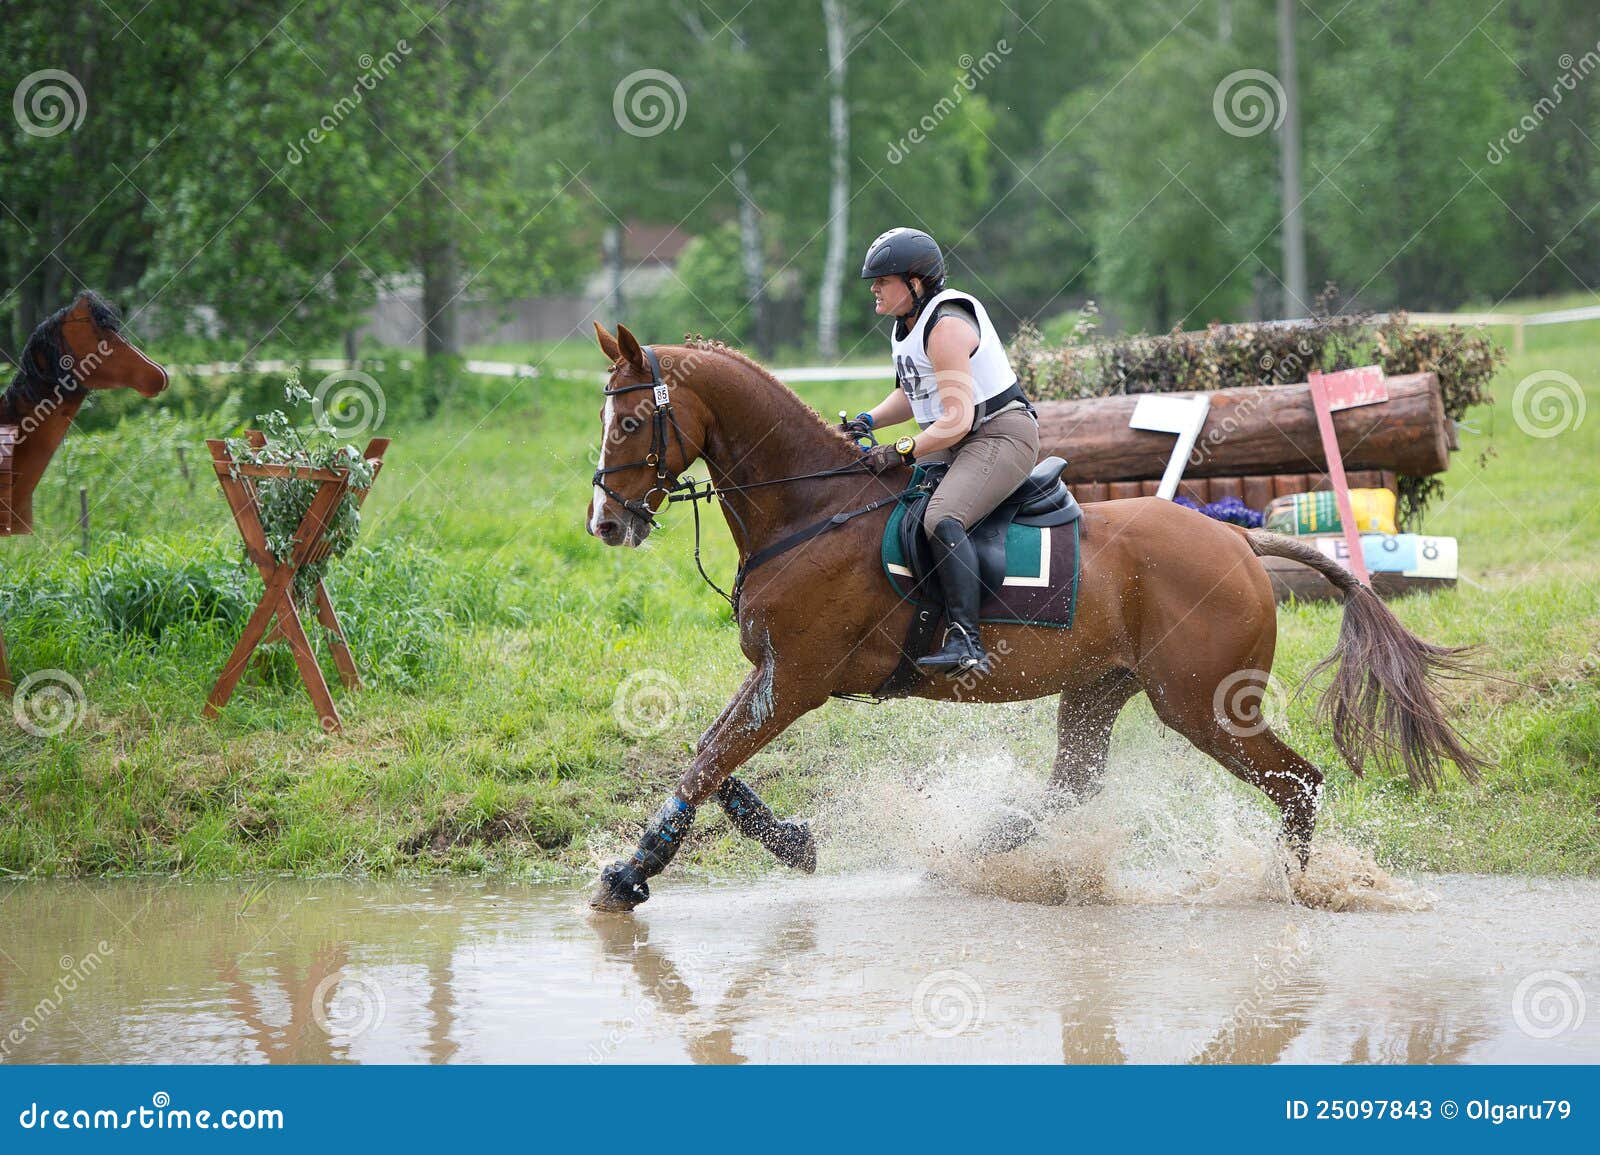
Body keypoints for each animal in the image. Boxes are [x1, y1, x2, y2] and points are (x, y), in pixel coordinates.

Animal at [584, 322, 1482, 911]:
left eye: (629, 421)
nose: (605, 523)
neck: (811, 509)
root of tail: (1237, 539)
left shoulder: (798, 677)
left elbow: (705, 759)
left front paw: (630, 874)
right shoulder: (774, 674)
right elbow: (712, 756)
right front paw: (784, 835)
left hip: (1205, 705)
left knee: (1299, 782)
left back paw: (1293, 886)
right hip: (1099, 689)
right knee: (1071, 789)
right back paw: (971, 851)